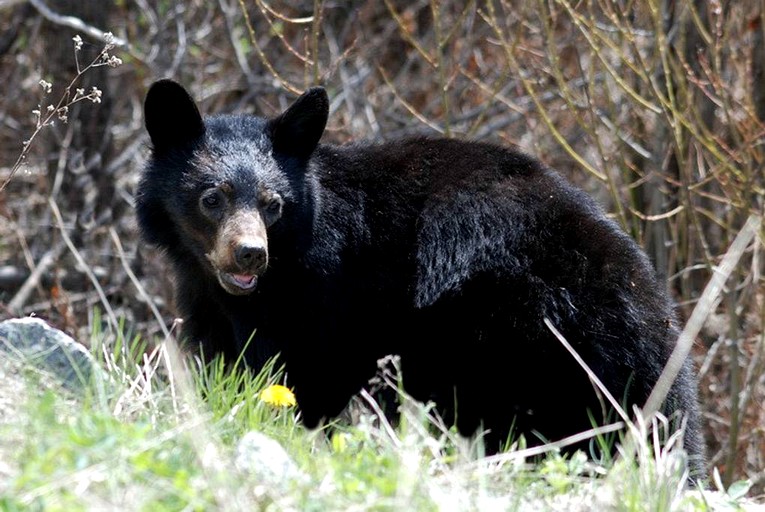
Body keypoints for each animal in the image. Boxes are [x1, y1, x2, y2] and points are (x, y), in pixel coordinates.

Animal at [136, 78, 704, 478]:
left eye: (273, 204)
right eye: (212, 198)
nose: (251, 255)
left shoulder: (326, 298)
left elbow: (302, 373)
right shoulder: (208, 296)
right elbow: (221, 358)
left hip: (499, 326)